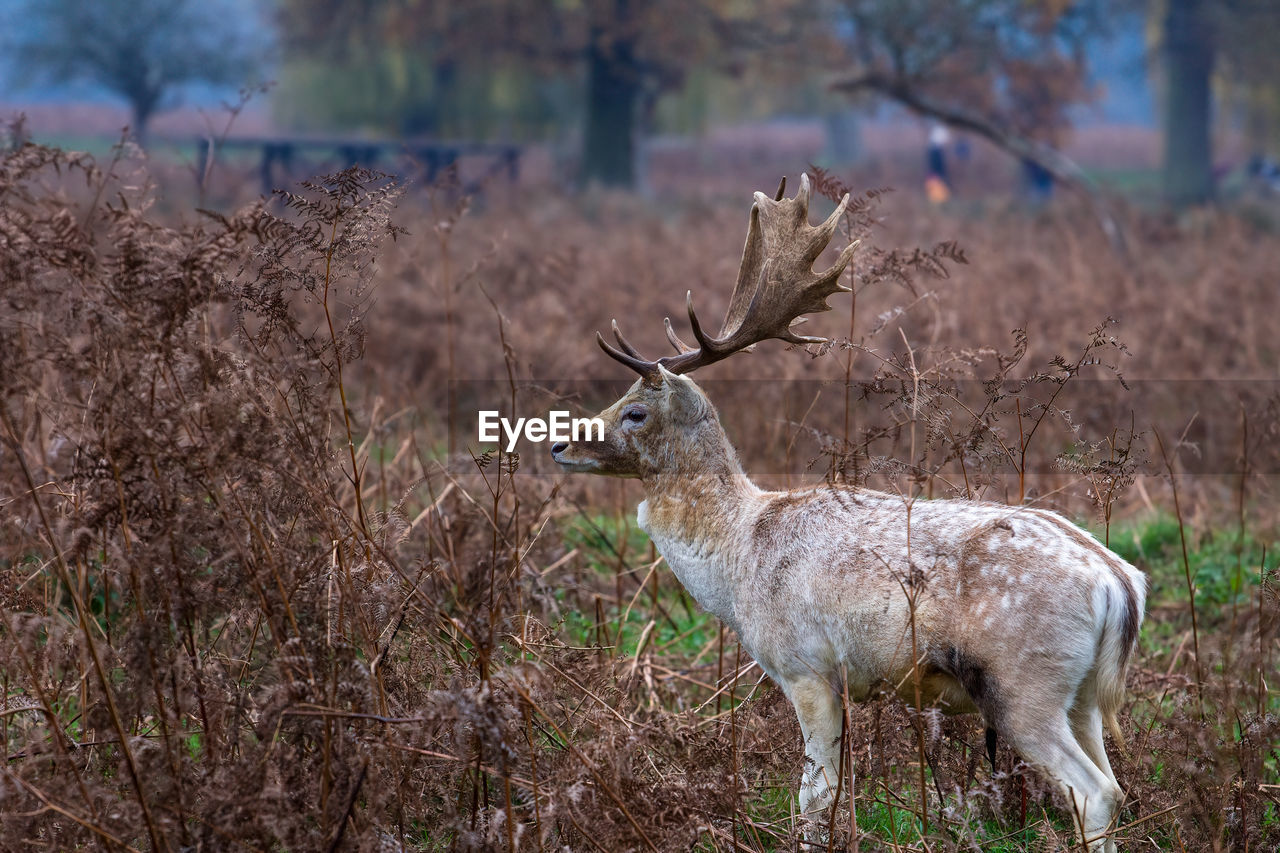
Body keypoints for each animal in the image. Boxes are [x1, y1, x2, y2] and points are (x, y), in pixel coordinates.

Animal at [550, 174, 1152, 850]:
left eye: (635, 411)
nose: (558, 445)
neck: (737, 558)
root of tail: (1119, 584)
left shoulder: (806, 665)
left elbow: (815, 794)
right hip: (1085, 694)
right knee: (1113, 783)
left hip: (1023, 683)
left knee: (1094, 791)